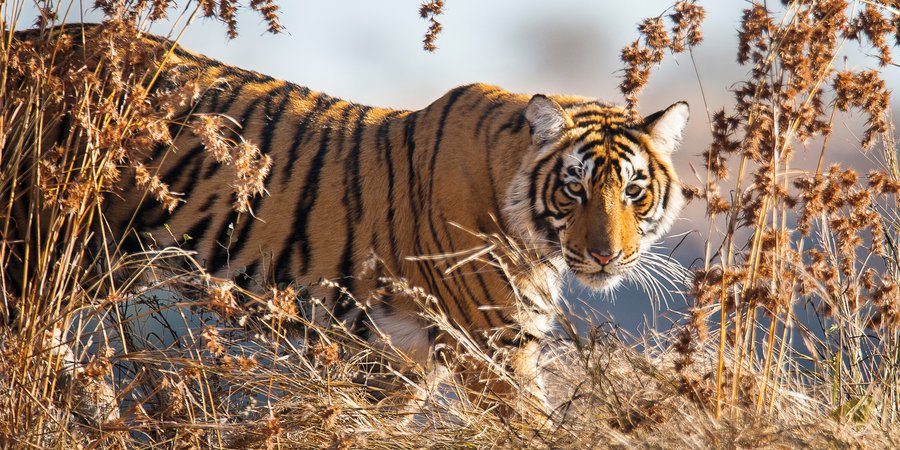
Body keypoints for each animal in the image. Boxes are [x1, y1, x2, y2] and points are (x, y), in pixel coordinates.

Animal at [7, 24, 689, 420]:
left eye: (634, 192)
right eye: (574, 189)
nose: (605, 256)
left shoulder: (404, 359)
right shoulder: (493, 348)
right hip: (36, 249)